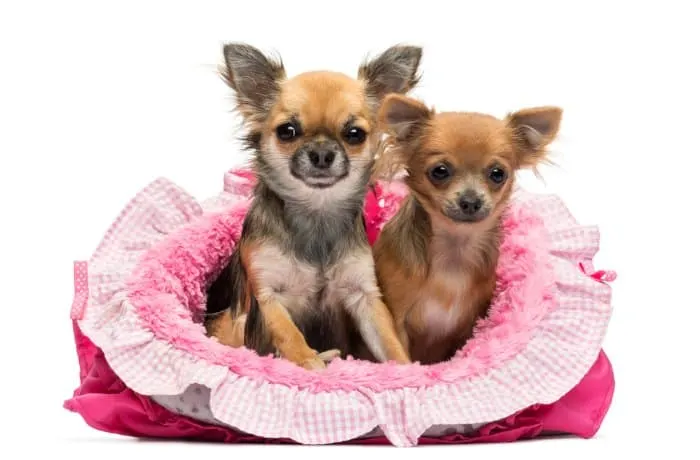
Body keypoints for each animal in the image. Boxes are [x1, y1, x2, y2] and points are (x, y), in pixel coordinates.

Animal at [202, 44, 422, 370]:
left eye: (355, 134)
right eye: (287, 131)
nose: (321, 153)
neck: (316, 212)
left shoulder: (364, 295)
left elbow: (389, 341)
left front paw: (408, 370)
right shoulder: (268, 295)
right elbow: (288, 333)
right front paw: (309, 364)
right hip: (233, 324)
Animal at [372, 94, 564, 366]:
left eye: (498, 174)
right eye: (440, 171)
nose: (471, 201)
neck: (454, 249)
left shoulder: (466, 328)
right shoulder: (398, 320)